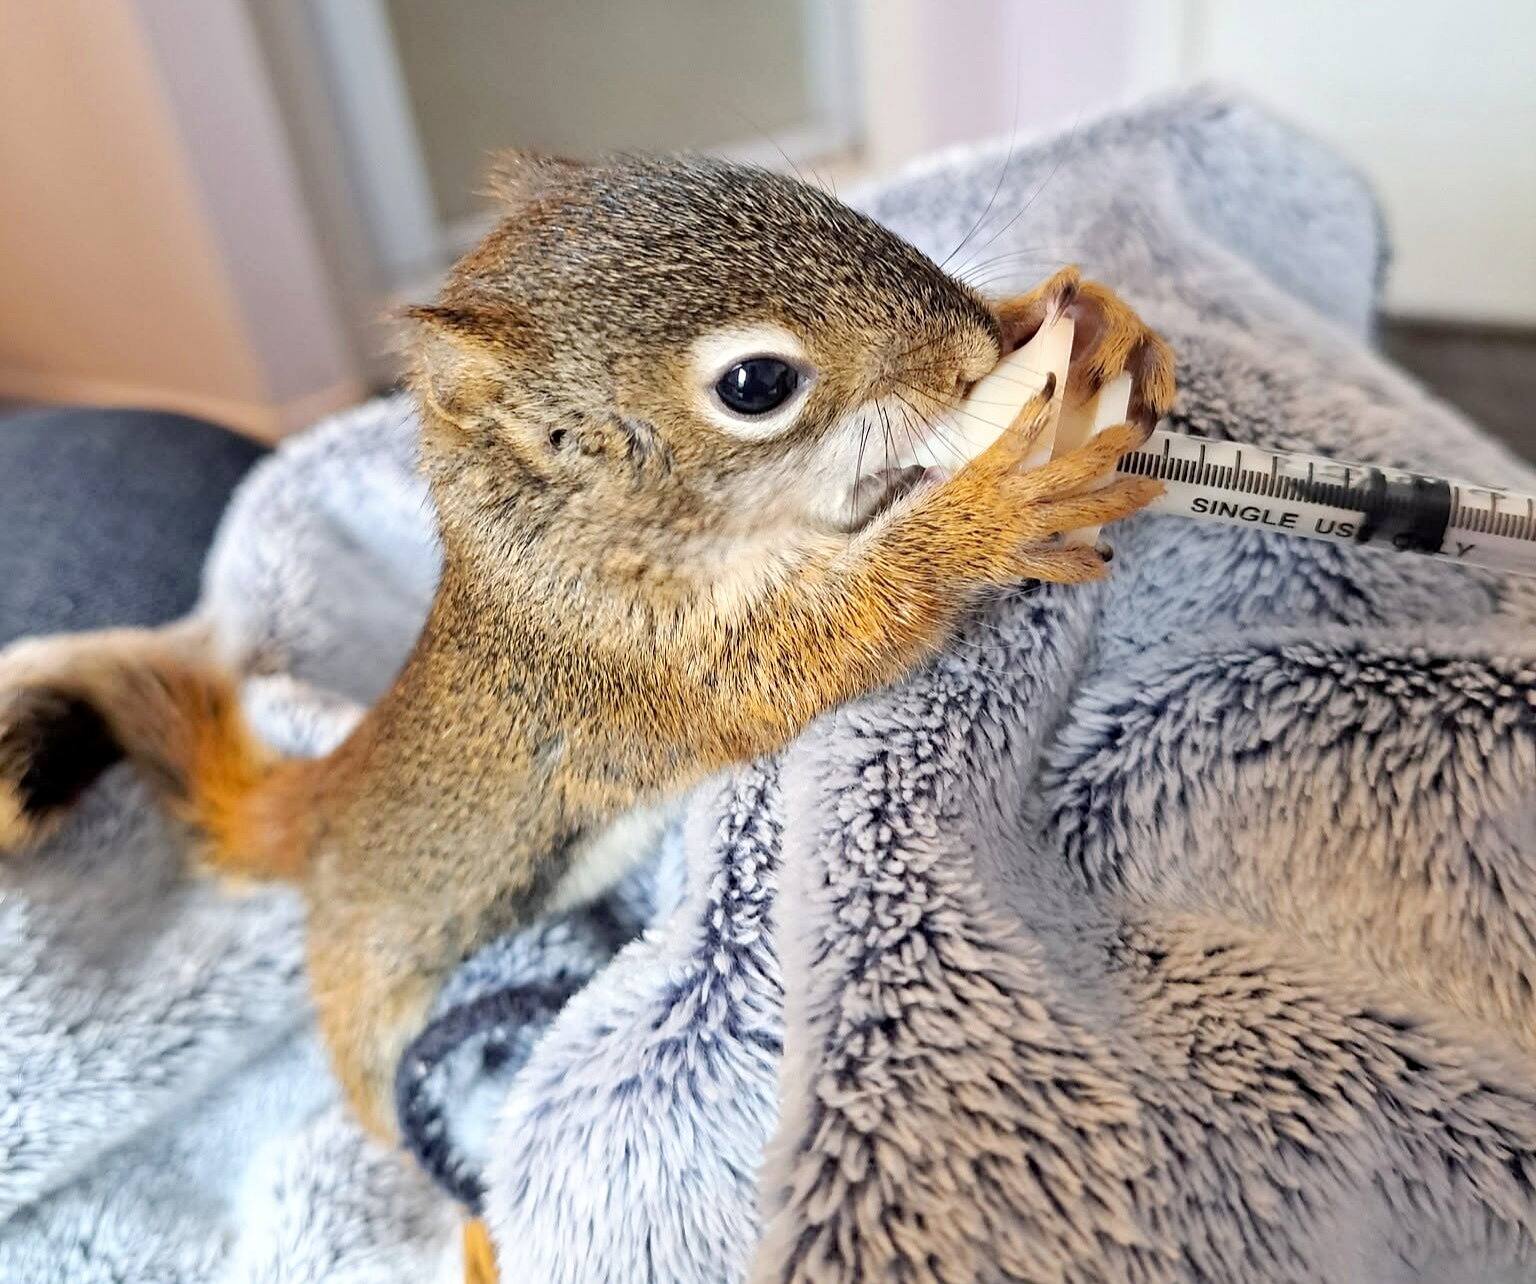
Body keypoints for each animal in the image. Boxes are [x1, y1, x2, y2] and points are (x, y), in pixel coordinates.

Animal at [0, 152, 1174, 1146]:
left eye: (815, 195)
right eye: (756, 385)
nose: (973, 347)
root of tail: (319, 803)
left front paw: (1094, 327)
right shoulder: (639, 660)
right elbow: (823, 642)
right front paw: (989, 510)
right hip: (370, 982)